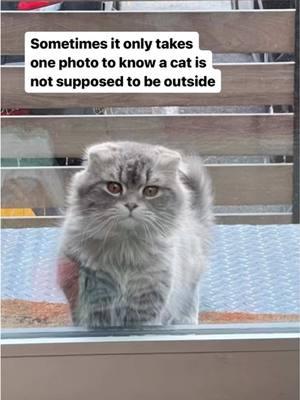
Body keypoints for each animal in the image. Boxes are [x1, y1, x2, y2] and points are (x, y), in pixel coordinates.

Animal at [59, 141, 213, 328]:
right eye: (114, 187)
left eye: (150, 191)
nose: (131, 205)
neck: (125, 250)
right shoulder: (95, 296)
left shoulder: (147, 300)